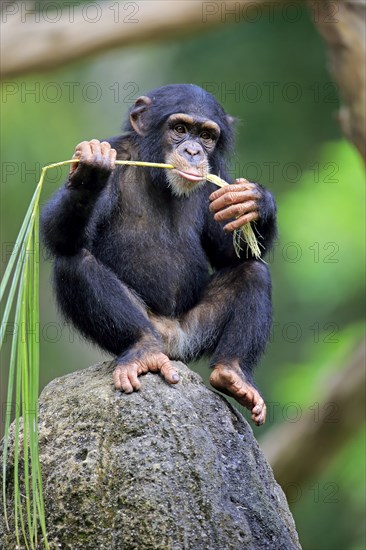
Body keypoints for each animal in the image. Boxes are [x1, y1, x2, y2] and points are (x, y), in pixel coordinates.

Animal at [41, 84, 276, 426]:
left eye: (207, 135)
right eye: (179, 129)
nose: (193, 152)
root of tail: (170, 342)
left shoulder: (217, 176)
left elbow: (230, 253)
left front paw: (255, 201)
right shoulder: (118, 154)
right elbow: (57, 236)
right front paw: (90, 170)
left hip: (193, 333)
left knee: (253, 271)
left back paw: (234, 375)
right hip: (149, 325)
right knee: (74, 262)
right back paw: (143, 349)